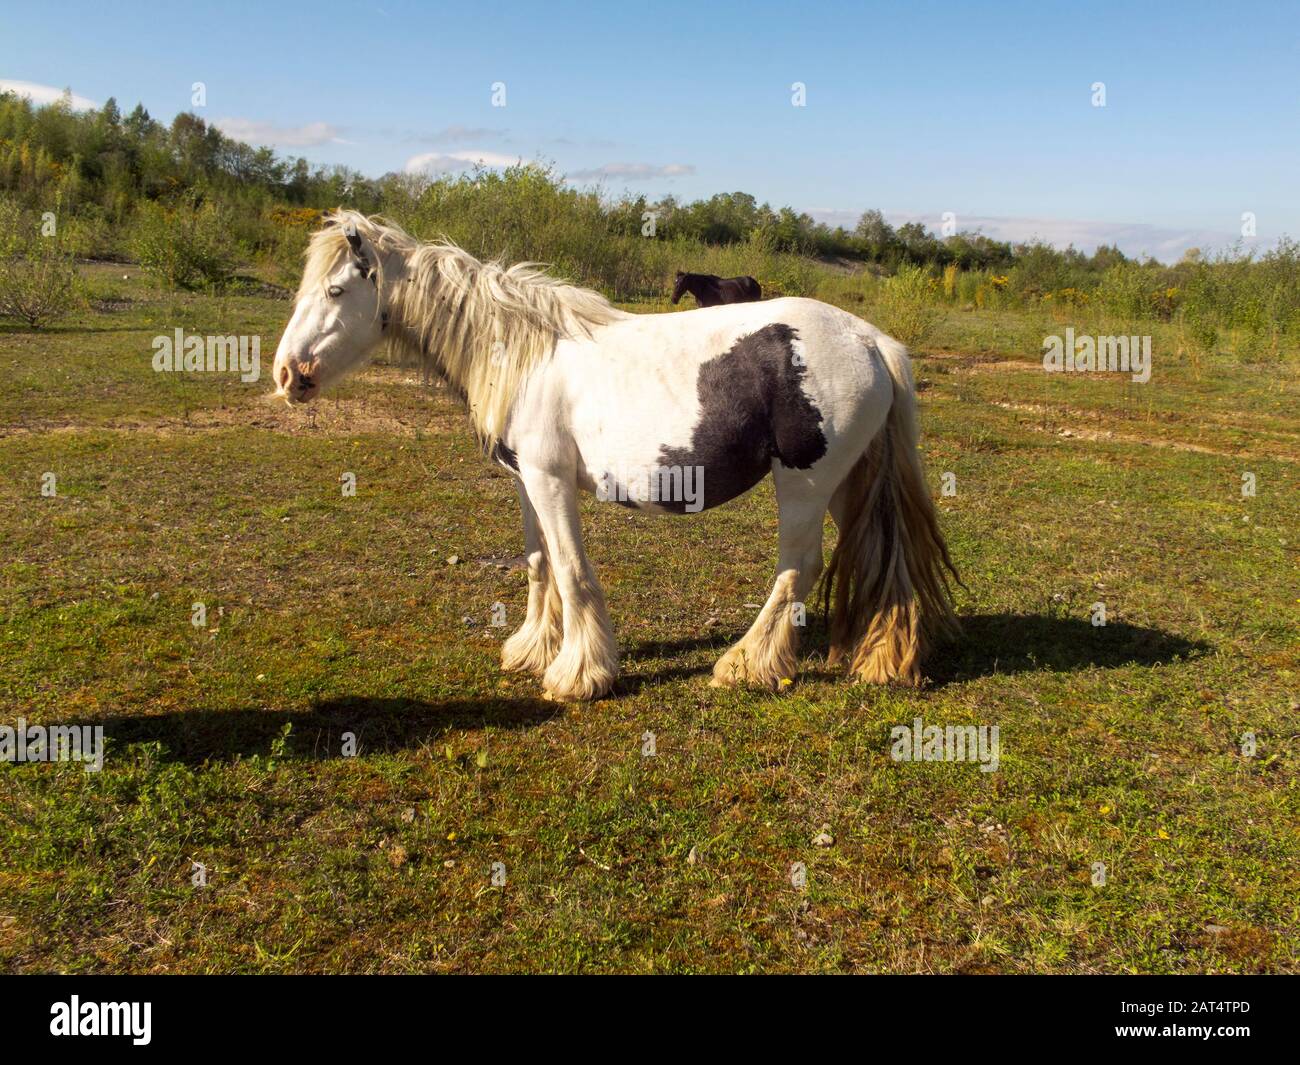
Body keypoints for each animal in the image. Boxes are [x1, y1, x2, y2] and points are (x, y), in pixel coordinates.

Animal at [272, 211, 959, 702]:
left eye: (335, 290)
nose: (286, 374)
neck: (523, 354)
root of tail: (871, 340)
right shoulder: (527, 481)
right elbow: (539, 564)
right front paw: (532, 648)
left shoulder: (549, 480)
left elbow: (571, 569)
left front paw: (579, 674)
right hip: (849, 483)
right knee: (880, 556)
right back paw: (882, 660)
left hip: (805, 485)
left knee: (799, 567)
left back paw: (745, 665)